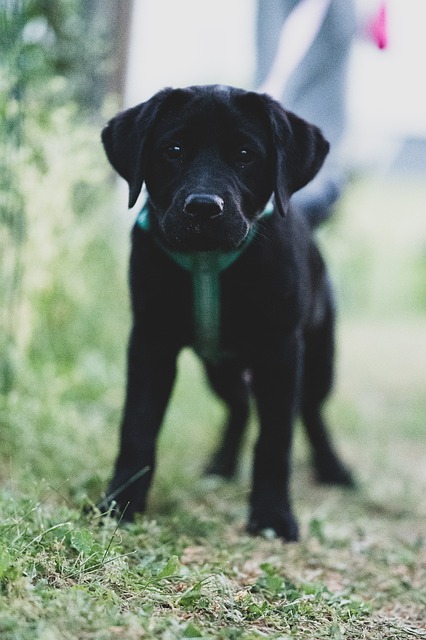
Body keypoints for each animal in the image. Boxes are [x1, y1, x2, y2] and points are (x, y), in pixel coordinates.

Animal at [100, 84, 352, 540]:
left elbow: (275, 440)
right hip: (220, 369)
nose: (203, 207)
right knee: (240, 407)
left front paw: (272, 518)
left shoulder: (280, 351)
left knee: (311, 411)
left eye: (246, 154)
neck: (208, 262)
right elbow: (137, 429)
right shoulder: (150, 343)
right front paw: (120, 505)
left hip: (320, 358)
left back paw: (334, 470)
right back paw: (222, 465)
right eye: (173, 150)